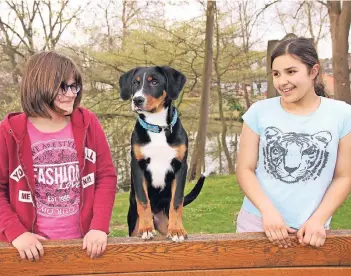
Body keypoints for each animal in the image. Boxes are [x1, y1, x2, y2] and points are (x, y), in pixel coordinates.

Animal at [119, 66, 206, 242]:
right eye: (135, 83)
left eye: (154, 82)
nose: (137, 100)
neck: (157, 127)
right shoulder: (137, 166)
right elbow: (143, 200)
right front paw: (146, 228)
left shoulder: (180, 166)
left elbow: (177, 202)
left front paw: (178, 230)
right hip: (133, 223)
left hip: (165, 222)